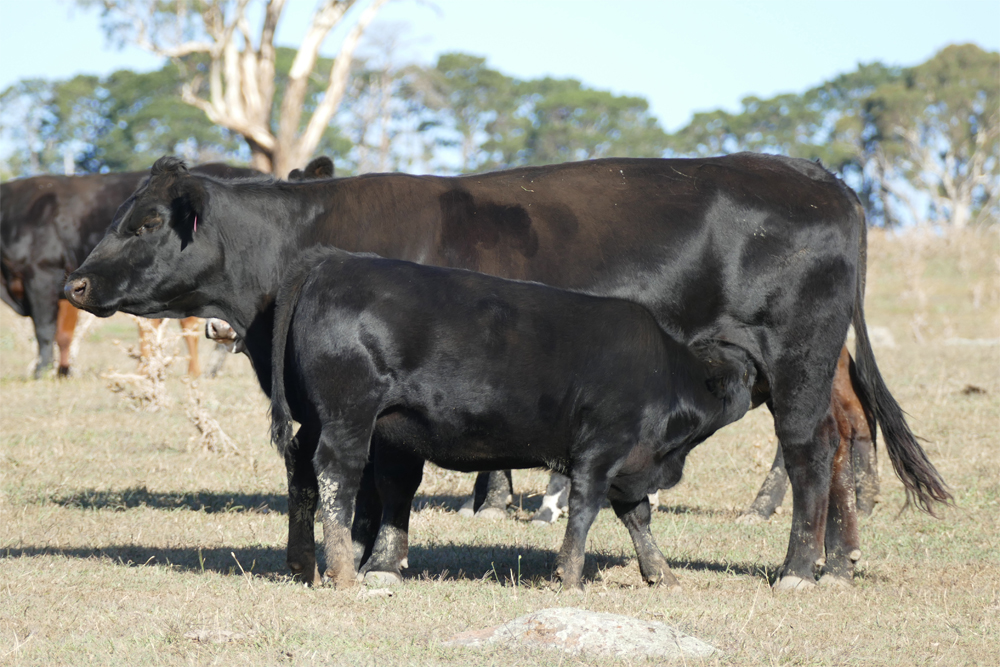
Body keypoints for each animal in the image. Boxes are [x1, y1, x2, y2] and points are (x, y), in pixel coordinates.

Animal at [1, 165, 258, 378]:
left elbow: (45, 330)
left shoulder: (41, 275)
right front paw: (64, 371)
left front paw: (41, 371)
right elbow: (64, 333)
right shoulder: (68, 285)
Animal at [270, 247, 752, 588]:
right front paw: (569, 577)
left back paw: (302, 562)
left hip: (318, 418)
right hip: (348, 416)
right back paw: (342, 572)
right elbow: (585, 510)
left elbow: (637, 517)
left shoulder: (631, 463)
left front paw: (661, 573)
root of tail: (335, 259)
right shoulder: (601, 450)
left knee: (300, 465)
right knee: (337, 474)